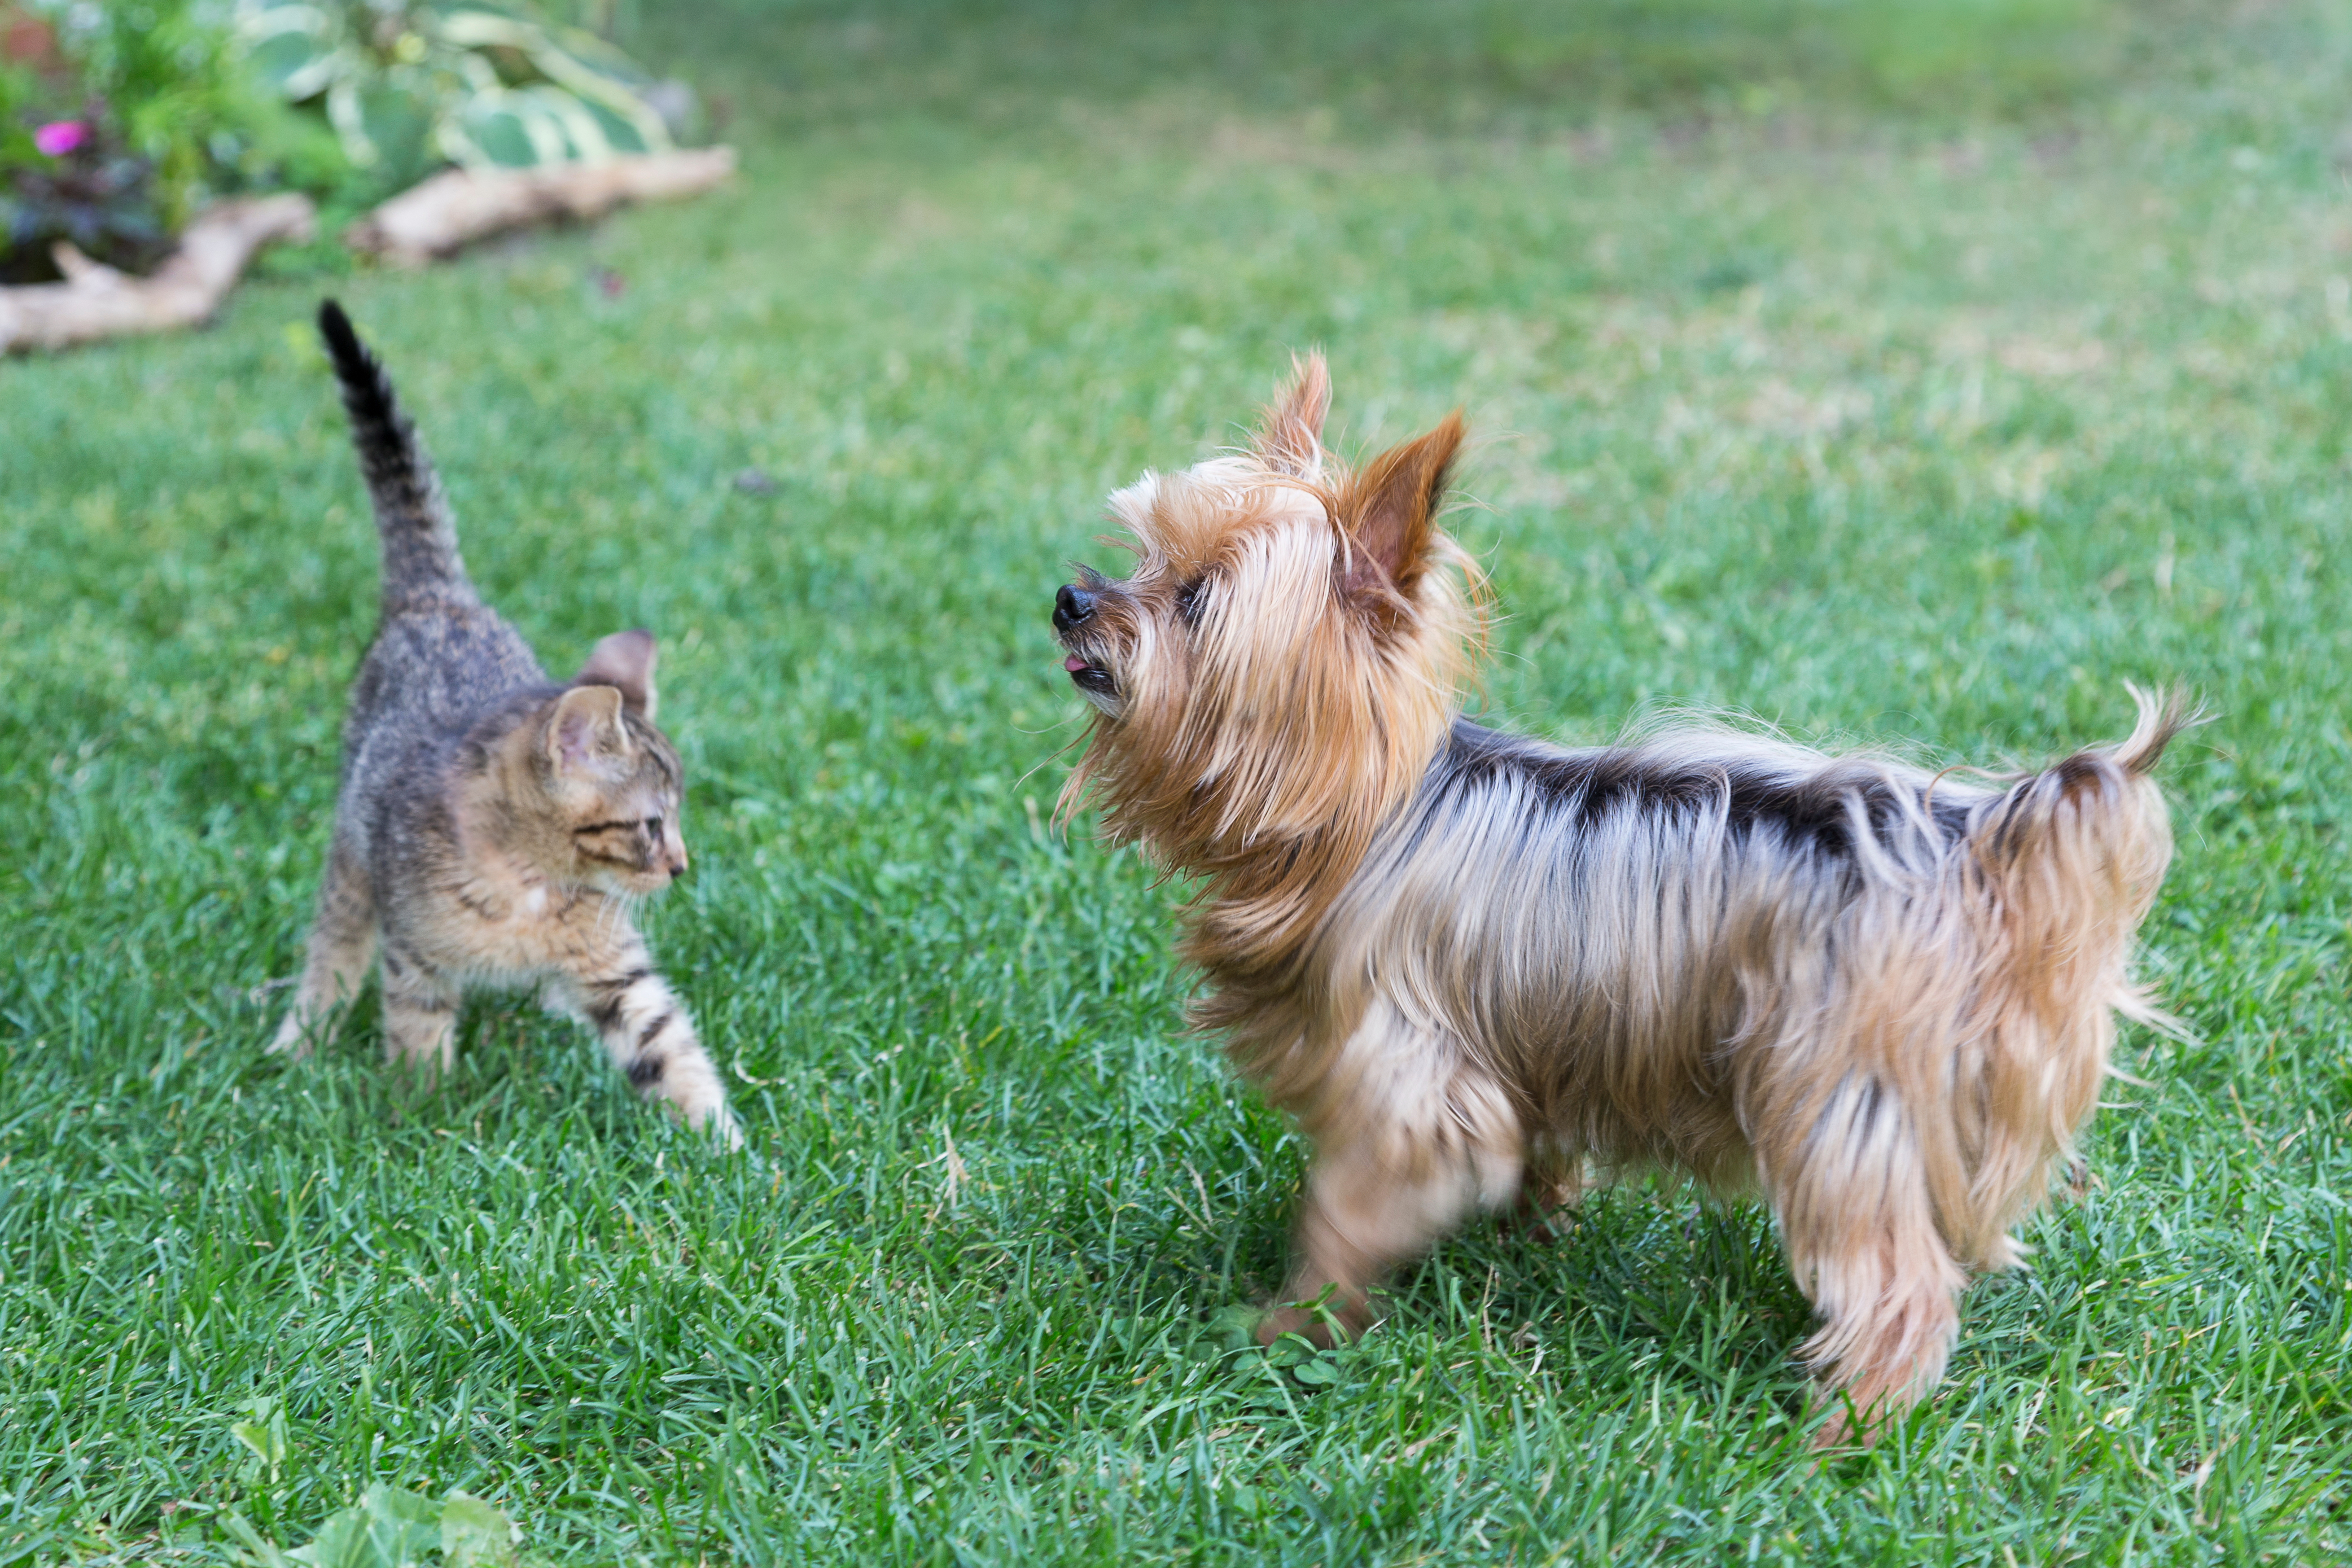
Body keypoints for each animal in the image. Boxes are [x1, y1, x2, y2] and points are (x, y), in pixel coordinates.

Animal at [270, 301, 738, 1147]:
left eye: (676, 820)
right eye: (651, 825)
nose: (682, 867)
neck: (535, 888)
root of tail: (438, 597)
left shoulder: (616, 972)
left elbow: (668, 1046)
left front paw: (729, 1145)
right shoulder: (414, 955)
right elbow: (416, 1033)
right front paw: (422, 1117)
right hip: (353, 857)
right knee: (333, 943)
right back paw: (301, 1037)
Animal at [1053, 360, 2182, 1448]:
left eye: (1197, 599)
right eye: (1142, 553)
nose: (1069, 596)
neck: (1356, 817)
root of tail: (1967, 835)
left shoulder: (1408, 1076)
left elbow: (1344, 1208)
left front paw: (1293, 1322)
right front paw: (1532, 1226)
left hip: (1832, 1091)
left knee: (1896, 1281)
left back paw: (1847, 1427)